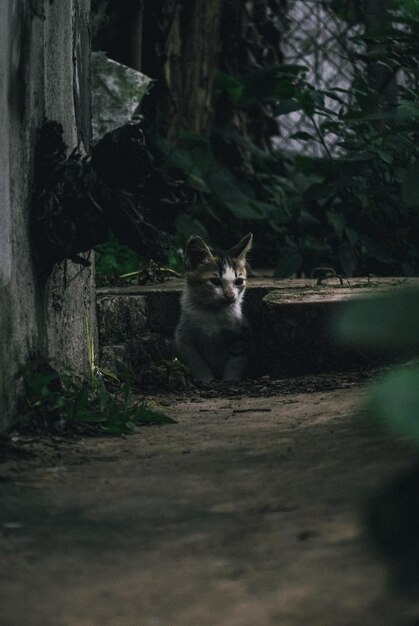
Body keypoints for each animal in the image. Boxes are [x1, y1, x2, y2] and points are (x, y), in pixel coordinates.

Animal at [176, 233, 254, 382]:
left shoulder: (242, 336)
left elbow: (235, 363)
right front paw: (206, 379)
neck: (213, 312)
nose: (230, 295)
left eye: (239, 281)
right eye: (215, 281)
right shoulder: (184, 338)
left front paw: (230, 380)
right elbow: (196, 362)